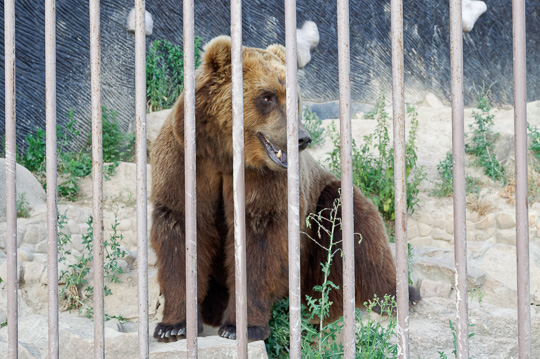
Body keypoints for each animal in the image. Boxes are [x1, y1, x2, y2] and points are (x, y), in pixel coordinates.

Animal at [150, 35, 420, 344]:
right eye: (267, 96)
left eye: (294, 97)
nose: (302, 138)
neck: (224, 154)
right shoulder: (186, 161)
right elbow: (180, 233)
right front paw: (173, 325)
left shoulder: (264, 180)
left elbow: (259, 242)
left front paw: (241, 326)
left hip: (322, 204)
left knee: (355, 228)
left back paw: (393, 296)